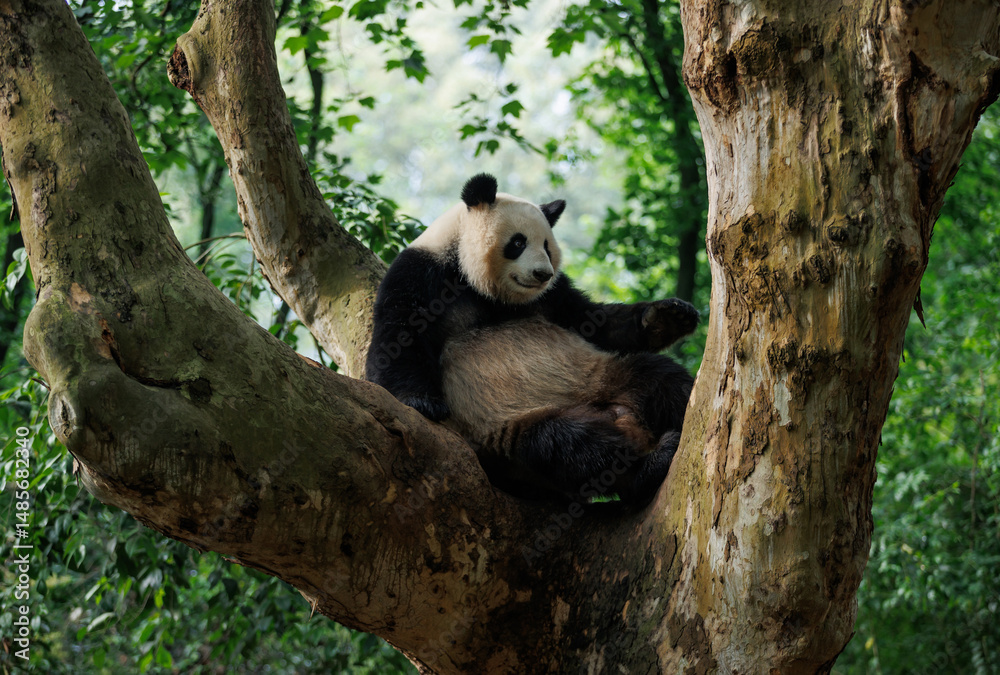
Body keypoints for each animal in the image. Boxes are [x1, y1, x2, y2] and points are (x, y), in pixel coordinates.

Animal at [365, 173, 698, 507]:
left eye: (548, 247)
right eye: (518, 242)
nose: (542, 274)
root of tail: (620, 415)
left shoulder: (554, 297)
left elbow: (597, 322)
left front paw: (671, 317)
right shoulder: (420, 273)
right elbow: (397, 340)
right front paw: (423, 402)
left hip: (601, 376)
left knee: (658, 379)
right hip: (508, 431)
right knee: (567, 445)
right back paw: (648, 465)